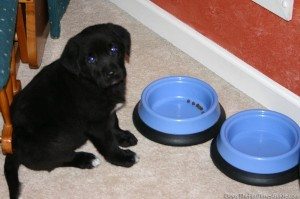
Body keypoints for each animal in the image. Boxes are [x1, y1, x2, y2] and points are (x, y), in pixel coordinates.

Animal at [4, 23, 138, 199]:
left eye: (114, 49)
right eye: (91, 59)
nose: (111, 74)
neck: (89, 81)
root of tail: (13, 147)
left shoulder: (106, 113)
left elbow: (114, 122)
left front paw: (123, 137)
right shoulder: (96, 123)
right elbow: (108, 144)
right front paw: (122, 157)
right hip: (58, 139)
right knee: (56, 159)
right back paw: (86, 159)